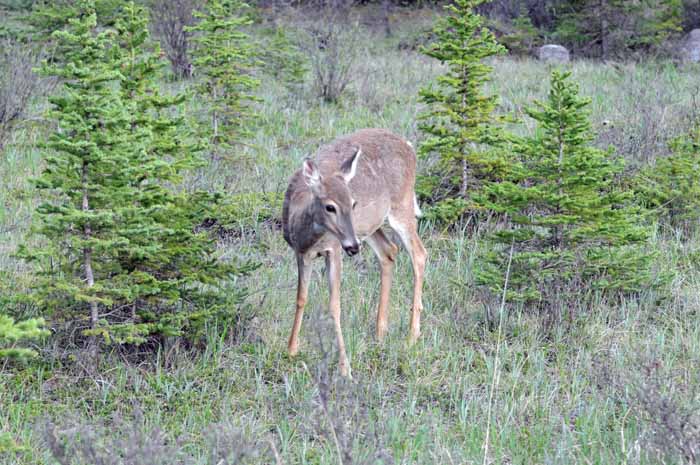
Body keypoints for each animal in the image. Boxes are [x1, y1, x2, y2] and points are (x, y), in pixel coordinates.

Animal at [280, 128, 426, 376]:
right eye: (330, 206)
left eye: (353, 203)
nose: (353, 247)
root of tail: (409, 146)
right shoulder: (300, 253)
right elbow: (301, 298)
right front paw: (291, 350)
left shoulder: (333, 249)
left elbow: (334, 305)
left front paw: (345, 368)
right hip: (369, 227)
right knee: (389, 251)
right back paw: (380, 333)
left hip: (400, 205)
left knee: (419, 254)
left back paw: (412, 336)